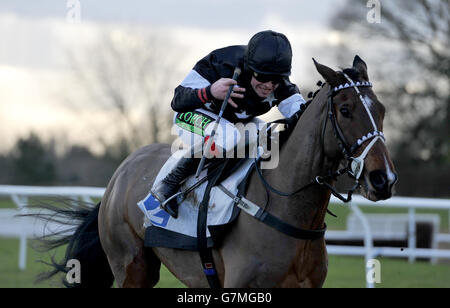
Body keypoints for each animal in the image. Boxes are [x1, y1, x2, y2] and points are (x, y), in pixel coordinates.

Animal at [38, 56, 398, 288]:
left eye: (382, 110)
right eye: (345, 110)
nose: (383, 179)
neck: (289, 210)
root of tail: (119, 176)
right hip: (131, 266)